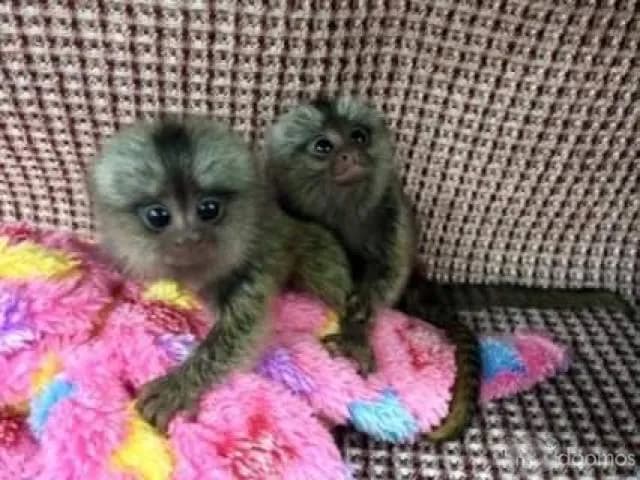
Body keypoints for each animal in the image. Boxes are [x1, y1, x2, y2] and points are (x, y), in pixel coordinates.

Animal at [89, 117, 353, 432]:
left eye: (208, 209)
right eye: (158, 216)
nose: (189, 238)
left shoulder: (253, 264)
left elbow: (239, 333)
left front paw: (179, 386)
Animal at [264, 96, 480, 441]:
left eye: (358, 136)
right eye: (323, 146)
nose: (350, 154)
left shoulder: (392, 210)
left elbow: (386, 271)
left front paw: (355, 331)